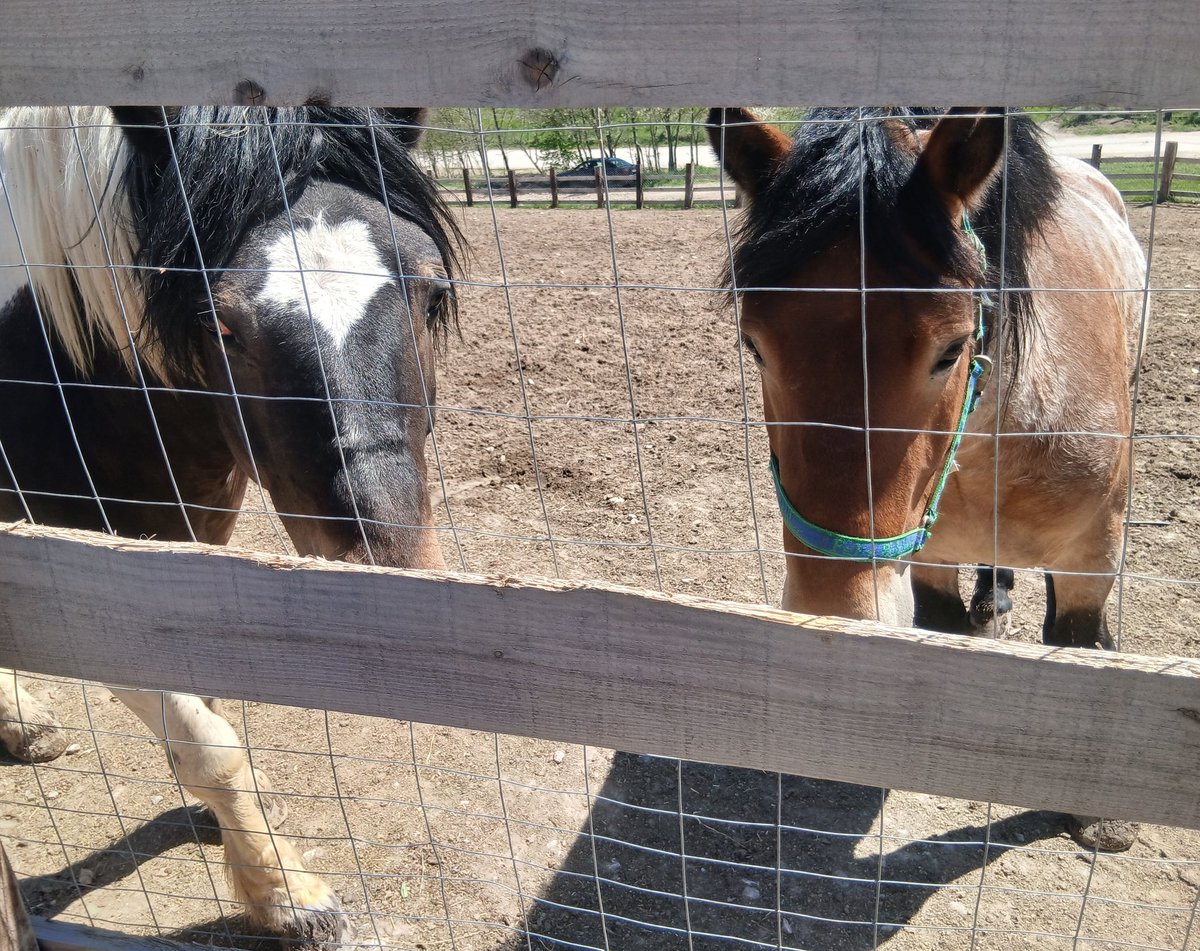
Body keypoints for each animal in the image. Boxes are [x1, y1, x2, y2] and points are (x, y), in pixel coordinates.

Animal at [0, 104, 461, 946]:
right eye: (221, 326)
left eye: (433, 296)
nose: (389, 580)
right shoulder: (84, 581)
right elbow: (206, 744)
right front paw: (286, 893)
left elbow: (207, 707)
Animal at [707, 107, 1146, 851]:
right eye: (753, 344)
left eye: (952, 347)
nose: (835, 620)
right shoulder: (929, 555)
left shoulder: (1093, 554)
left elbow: (1079, 647)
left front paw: (1098, 811)